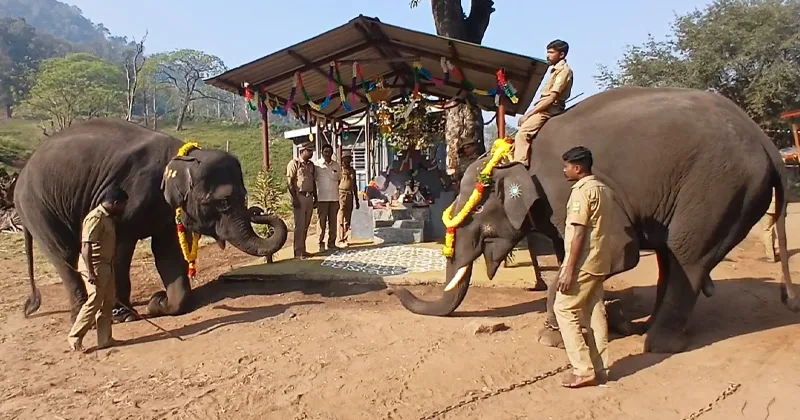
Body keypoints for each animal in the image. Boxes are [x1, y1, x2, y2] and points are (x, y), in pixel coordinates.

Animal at [14, 118, 288, 322]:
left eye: (244, 197)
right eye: (222, 202)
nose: (257, 210)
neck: (182, 159)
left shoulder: (167, 212)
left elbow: (167, 252)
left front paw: (159, 304)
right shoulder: (132, 198)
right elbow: (120, 250)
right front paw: (124, 315)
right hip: (39, 208)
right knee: (63, 253)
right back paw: (86, 316)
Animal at [390, 86, 800, 354]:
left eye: (473, 208)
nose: (394, 291)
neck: (513, 154)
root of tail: (766, 142)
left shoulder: (570, 191)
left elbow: (618, 253)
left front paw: (551, 337)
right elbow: (569, 253)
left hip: (719, 189)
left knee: (687, 258)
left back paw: (655, 344)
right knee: (672, 258)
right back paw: (641, 328)